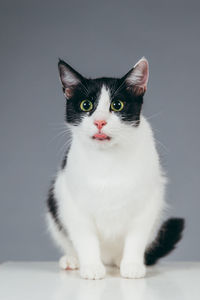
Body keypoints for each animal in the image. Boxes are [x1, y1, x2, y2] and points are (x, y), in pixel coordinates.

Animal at [47, 57, 184, 280]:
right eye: (86, 105)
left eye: (117, 105)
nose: (99, 122)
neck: (107, 160)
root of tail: (108, 259)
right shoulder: (71, 200)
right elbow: (85, 237)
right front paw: (91, 267)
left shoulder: (148, 201)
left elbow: (136, 237)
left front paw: (132, 265)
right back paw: (72, 260)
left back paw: (121, 261)